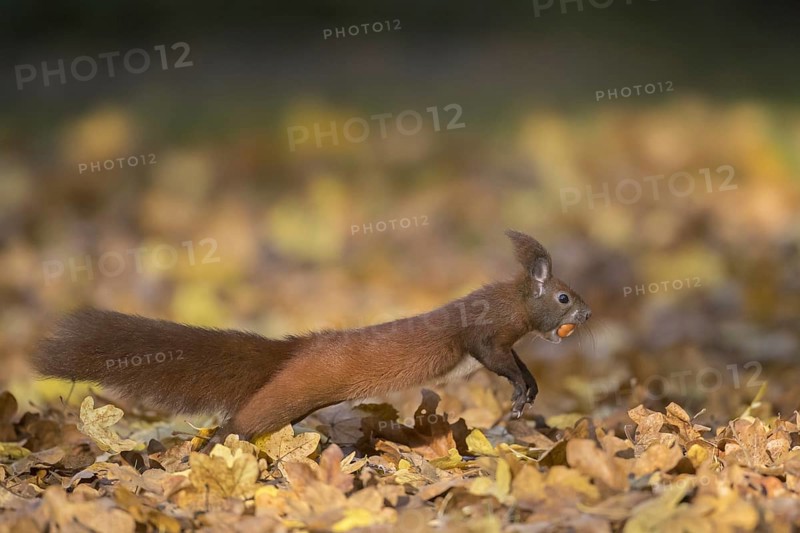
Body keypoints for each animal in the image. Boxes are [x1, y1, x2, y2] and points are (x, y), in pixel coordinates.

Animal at [34, 230, 591, 444]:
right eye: (566, 297)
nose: (588, 313)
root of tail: (293, 348)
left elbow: (518, 364)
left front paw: (529, 392)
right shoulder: (484, 333)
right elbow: (493, 356)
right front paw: (519, 394)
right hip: (290, 393)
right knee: (239, 421)